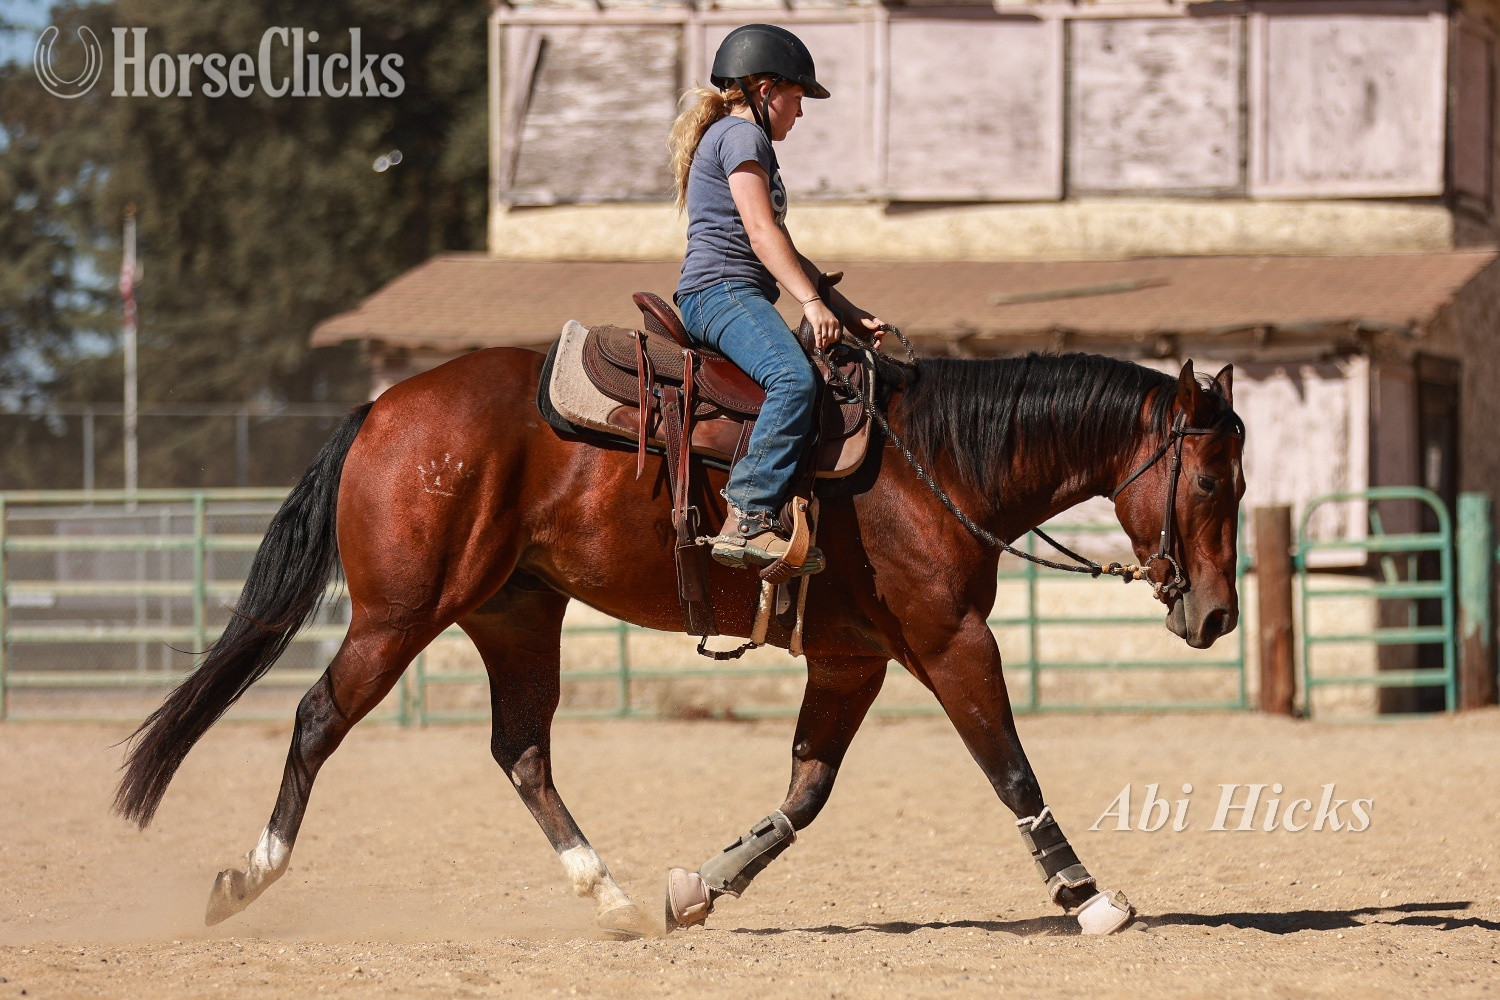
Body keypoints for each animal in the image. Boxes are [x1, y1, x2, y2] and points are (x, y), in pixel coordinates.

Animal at [113, 343, 1244, 938]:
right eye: (1209, 479)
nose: (1217, 615)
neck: (936, 465)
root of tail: (384, 408)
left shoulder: (853, 659)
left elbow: (806, 791)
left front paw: (698, 886)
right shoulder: (953, 639)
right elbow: (1011, 766)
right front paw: (1088, 898)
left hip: (516, 615)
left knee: (521, 748)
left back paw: (609, 894)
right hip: (398, 616)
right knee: (317, 717)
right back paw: (246, 877)